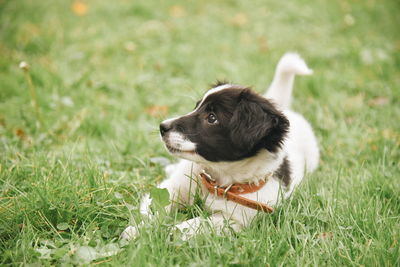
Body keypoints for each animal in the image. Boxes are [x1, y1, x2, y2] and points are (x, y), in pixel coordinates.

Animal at [121, 52, 318, 241]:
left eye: (212, 118)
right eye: (196, 107)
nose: (162, 127)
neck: (217, 179)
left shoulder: (232, 220)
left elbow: (190, 225)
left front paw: (163, 233)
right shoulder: (173, 188)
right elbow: (156, 208)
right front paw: (140, 230)